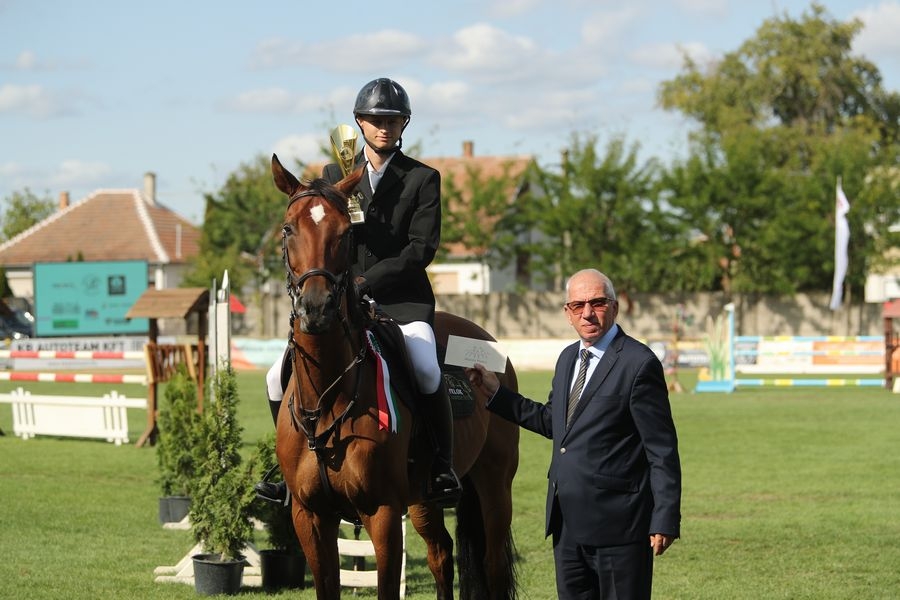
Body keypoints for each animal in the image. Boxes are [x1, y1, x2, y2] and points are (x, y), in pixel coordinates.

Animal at [270, 154, 521, 600]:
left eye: (344, 233)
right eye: (288, 229)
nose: (316, 309)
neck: (328, 398)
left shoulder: (383, 513)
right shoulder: (310, 516)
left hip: (494, 484)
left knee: (491, 564)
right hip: (423, 500)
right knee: (441, 554)